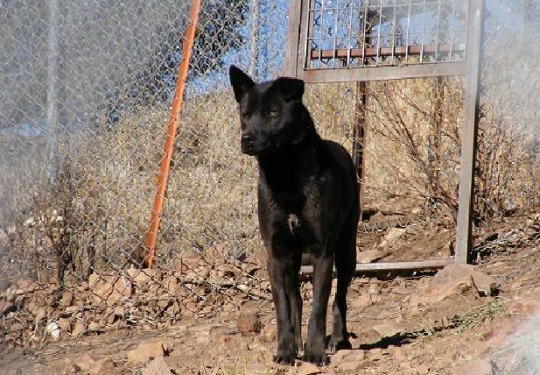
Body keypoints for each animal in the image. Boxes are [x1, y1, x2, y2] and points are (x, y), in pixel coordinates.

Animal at [228, 65, 358, 368]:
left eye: (273, 112)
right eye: (245, 114)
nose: (246, 139)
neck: (285, 176)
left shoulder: (323, 254)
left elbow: (319, 307)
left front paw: (315, 351)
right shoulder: (276, 255)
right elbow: (284, 309)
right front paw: (286, 350)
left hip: (347, 250)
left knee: (340, 297)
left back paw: (338, 339)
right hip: (295, 259)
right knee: (296, 299)